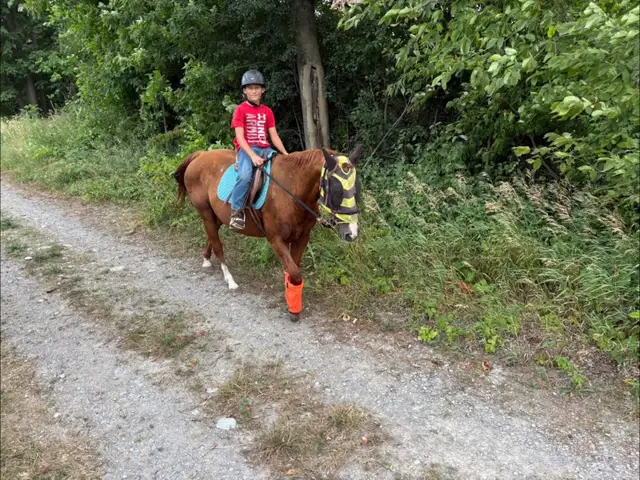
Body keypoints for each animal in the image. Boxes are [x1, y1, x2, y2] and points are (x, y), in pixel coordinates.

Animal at [173, 145, 363, 321]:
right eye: (337, 190)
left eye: (356, 188)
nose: (352, 233)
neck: (292, 189)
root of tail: (200, 155)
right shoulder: (276, 239)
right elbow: (295, 273)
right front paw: (293, 310)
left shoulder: (302, 238)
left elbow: (292, 270)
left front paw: (291, 302)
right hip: (205, 212)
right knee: (217, 244)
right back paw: (230, 280)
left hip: (217, 215)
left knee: (211, 237)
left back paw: (206, 259)